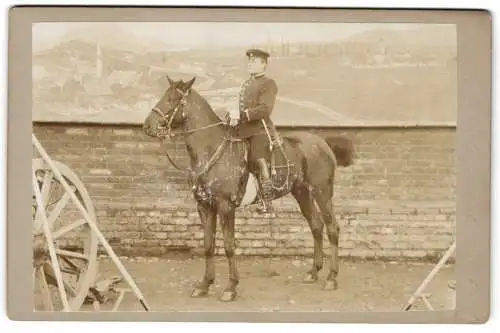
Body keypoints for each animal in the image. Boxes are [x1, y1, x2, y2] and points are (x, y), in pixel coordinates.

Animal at [143, 75, 358, 300]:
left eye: (173, 99)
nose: (147, 125)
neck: (211, 149)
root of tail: (322, 142)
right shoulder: (204, 206)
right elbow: (208, 245)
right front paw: (204, 284)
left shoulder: (225, 206)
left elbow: (229, 246)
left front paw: (231, 287)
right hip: (302, 193)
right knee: (316, 226)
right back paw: (314, 271)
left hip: (322, 192)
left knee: (332, 228)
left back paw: (331, 277)